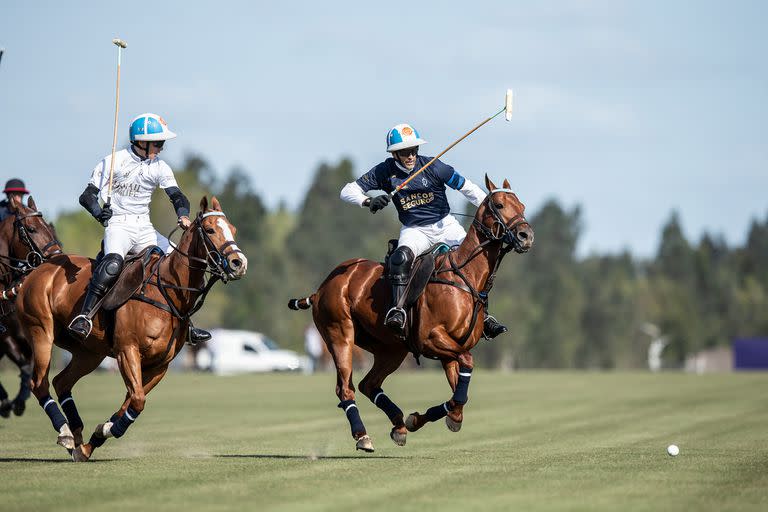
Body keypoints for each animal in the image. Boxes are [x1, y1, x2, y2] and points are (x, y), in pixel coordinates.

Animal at [0, 194, 62, 418]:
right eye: (32, 229)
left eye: (49, 229)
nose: (58, 256)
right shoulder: (7, 338)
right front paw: (11, 403)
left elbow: (28, 367)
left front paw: (18, 402)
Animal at [15, 196, 246, 460]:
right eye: (209, 230)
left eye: (233, 230)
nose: (239, 263)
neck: (167, 292)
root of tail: (40, 268)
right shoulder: (127, 350)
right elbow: (137, 400)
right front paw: (104, 431)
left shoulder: (160, 365)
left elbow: (130, 401)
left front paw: (96, 438)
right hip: (40, 330)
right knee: (39, 383)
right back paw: (65, 433)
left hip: (89, 352)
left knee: (62, 382)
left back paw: (77, 438)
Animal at [288, 177, 536, 452]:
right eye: (499, 204)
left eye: (522, 206)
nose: (526, 236)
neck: (466, 277)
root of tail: (321, 288)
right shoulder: (431, 339)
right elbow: (467, 367)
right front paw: (425, 418)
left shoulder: (451, 350)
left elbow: (460, 396)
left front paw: (422, 419)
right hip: (339, 334)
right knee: (345, 388)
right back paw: (363, 435)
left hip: (392, 348)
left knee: (368, 384)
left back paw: (398, 424)